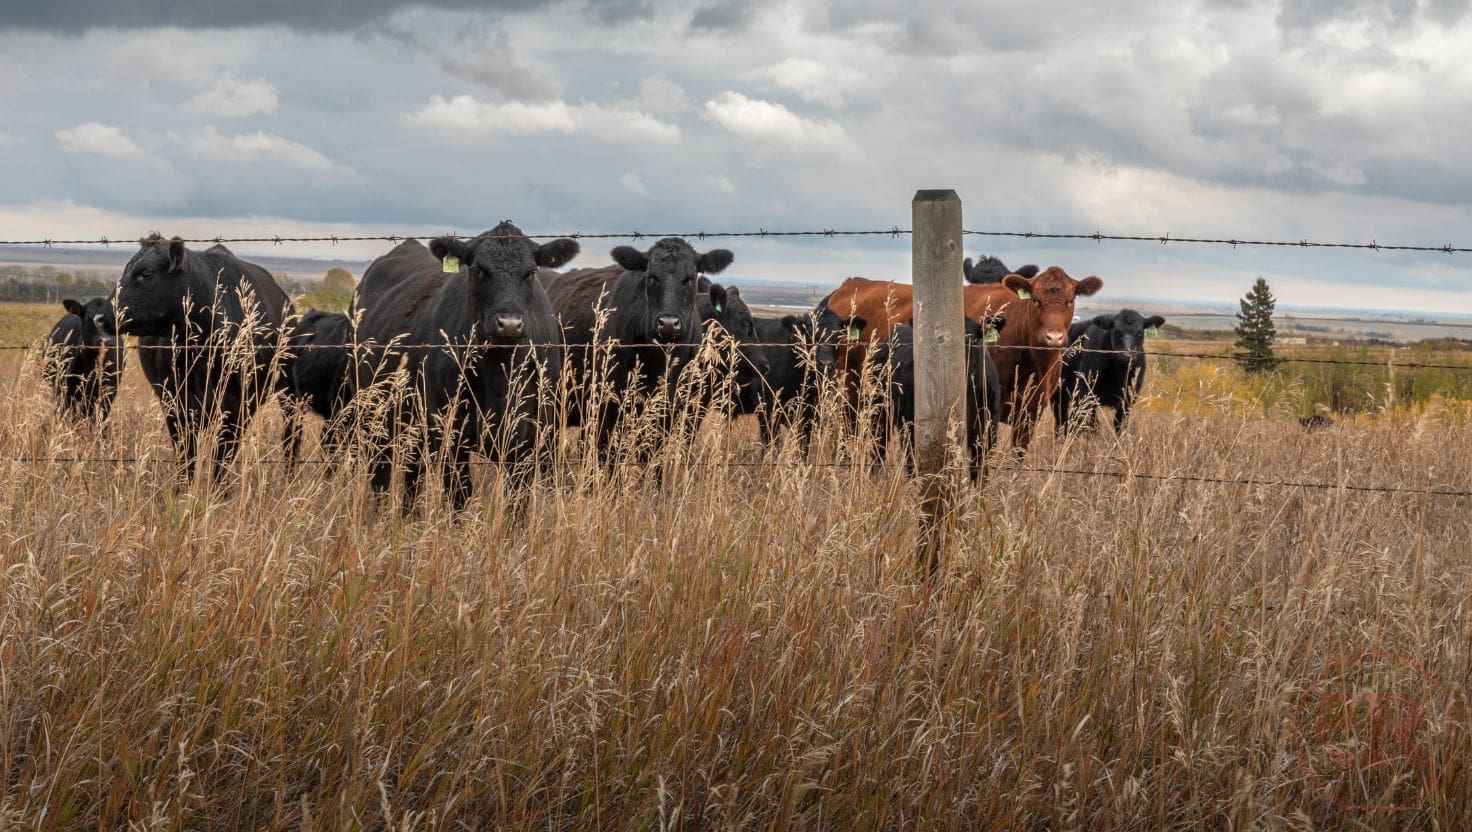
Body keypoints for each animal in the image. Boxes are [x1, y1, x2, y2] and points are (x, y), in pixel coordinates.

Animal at [111, 234, 293, 481]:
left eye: (146, 273)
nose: (103, 314)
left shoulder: (237, 407)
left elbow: (221, 461)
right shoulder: (176, 404)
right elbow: (187, 458)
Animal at [350, 222, 576, 509]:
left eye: (531, 271)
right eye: (479, 270)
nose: (509, 324)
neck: (499, 375)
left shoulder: (530, 441)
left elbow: (517, 502)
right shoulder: (451, 436)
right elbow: (460, 496)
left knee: (412, 475)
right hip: (374, 414)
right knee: (382, 473)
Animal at [546, 238, 733, 465]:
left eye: (690, 278)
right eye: (651, 276)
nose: (668, 323)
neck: (660, 360)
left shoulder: (670, 411)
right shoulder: (609, 406)